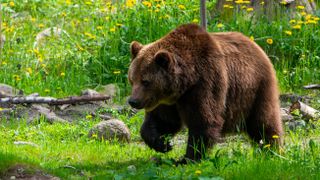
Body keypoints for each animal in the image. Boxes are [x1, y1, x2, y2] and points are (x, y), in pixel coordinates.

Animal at [127, 23, 282, 163]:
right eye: (132, 79)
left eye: (145, 81)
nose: (133, 101)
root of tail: (255, 45)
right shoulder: (167, 100)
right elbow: (163, 120)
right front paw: (162, 144)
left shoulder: (206, 82)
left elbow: (204, 120)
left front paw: (187, 158)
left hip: (255, 88)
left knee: (263, 121)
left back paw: (271, 149)